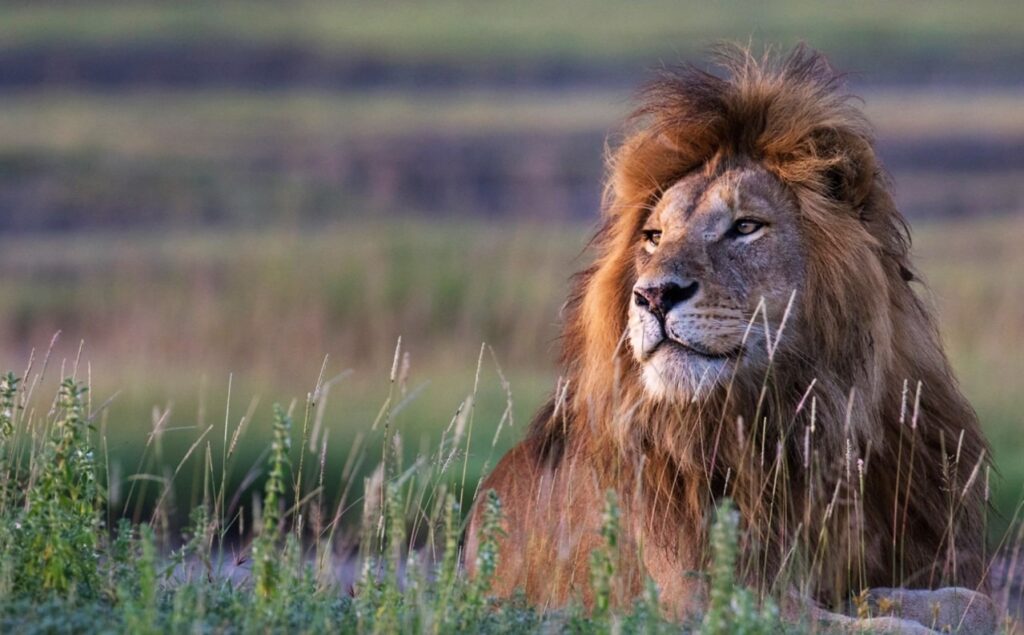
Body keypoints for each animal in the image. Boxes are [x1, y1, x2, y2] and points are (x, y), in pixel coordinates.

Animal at [468, 47, 987, 622]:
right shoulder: (712, 596)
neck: (797, 422)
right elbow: (879, 623)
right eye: (654, 236)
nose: (653, 296)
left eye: (745, 227)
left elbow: (961, 599)